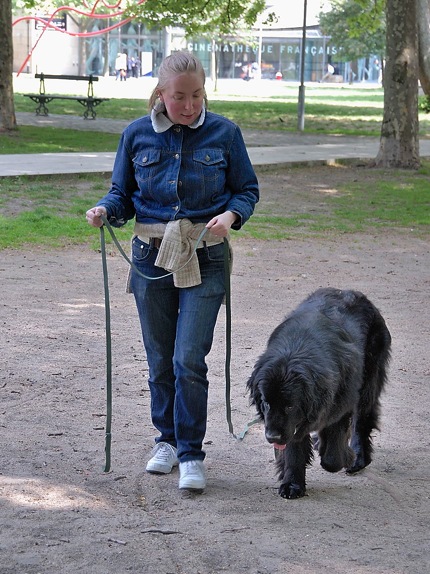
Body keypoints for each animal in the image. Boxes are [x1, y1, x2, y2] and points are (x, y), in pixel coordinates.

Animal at [247, 288, 392, 500]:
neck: (296, 348)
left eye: (290, 405)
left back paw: (357, 457)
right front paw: (292, 484)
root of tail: (355, 294)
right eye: (266, 403)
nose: (272, 436)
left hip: (368, 379)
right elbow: (294, 450)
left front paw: (344, 456)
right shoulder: (293, 424)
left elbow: (332, 458)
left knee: (361, 420)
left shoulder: (340, 404)